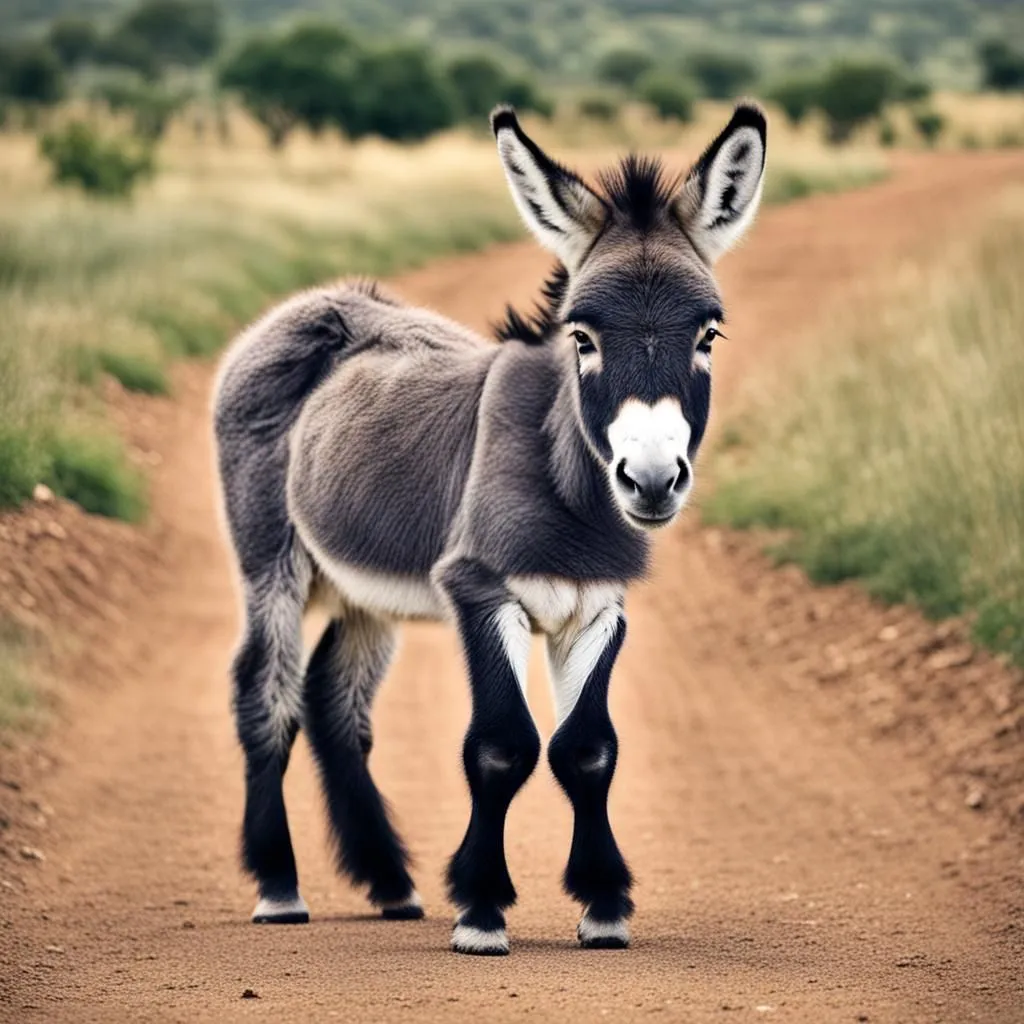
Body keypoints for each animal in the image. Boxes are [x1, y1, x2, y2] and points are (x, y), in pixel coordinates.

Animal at [211, 101, 765, 950]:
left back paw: (390, 883)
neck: (567, 495)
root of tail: (317, 301)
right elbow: (503, 747)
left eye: (708, 336)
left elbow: (588, 749)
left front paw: (603, 904)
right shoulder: (480, 591)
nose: (649, 480)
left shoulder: (598, 608)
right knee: (264, 689)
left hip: (366, 590)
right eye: (582, 336)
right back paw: (279, 885)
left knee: (335, 699)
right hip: (271, 558)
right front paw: (480, 909)